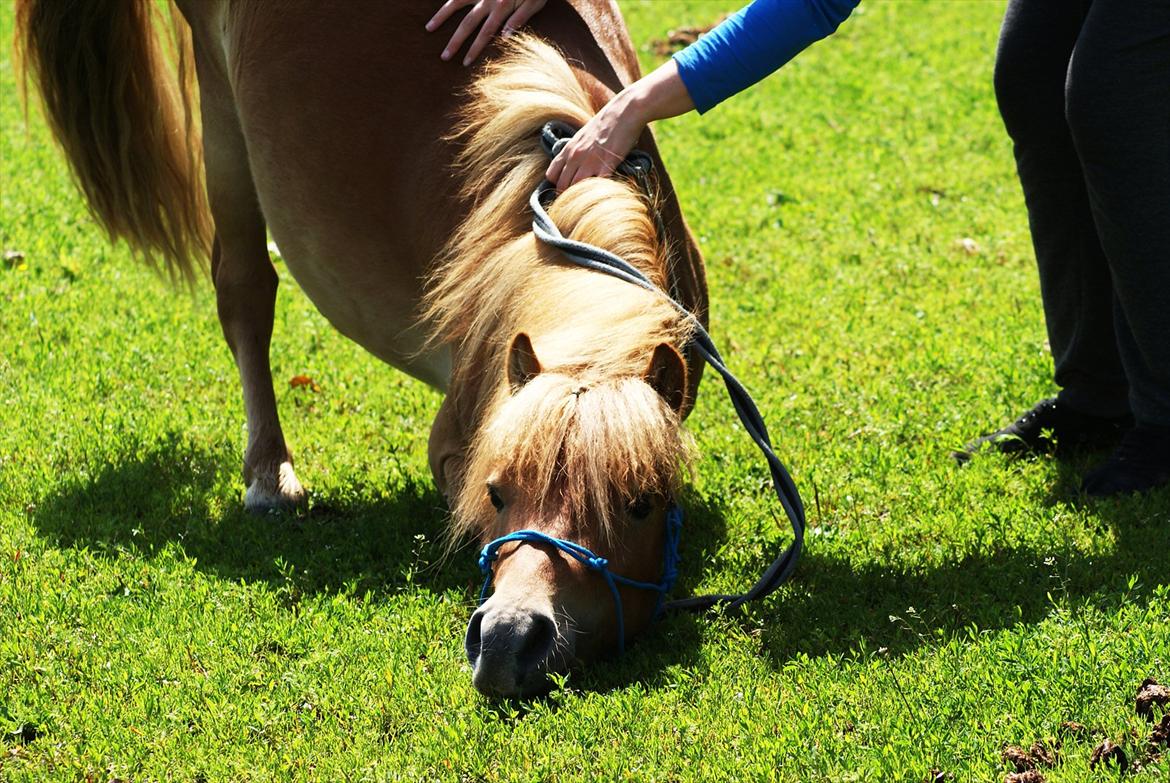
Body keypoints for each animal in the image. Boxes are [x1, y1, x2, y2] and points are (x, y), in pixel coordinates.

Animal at [18, 0, 706, 697]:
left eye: (641, 505)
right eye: (495, 493)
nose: (509, 640)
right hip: (222, 111)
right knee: (244, 290)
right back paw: (269, 479)